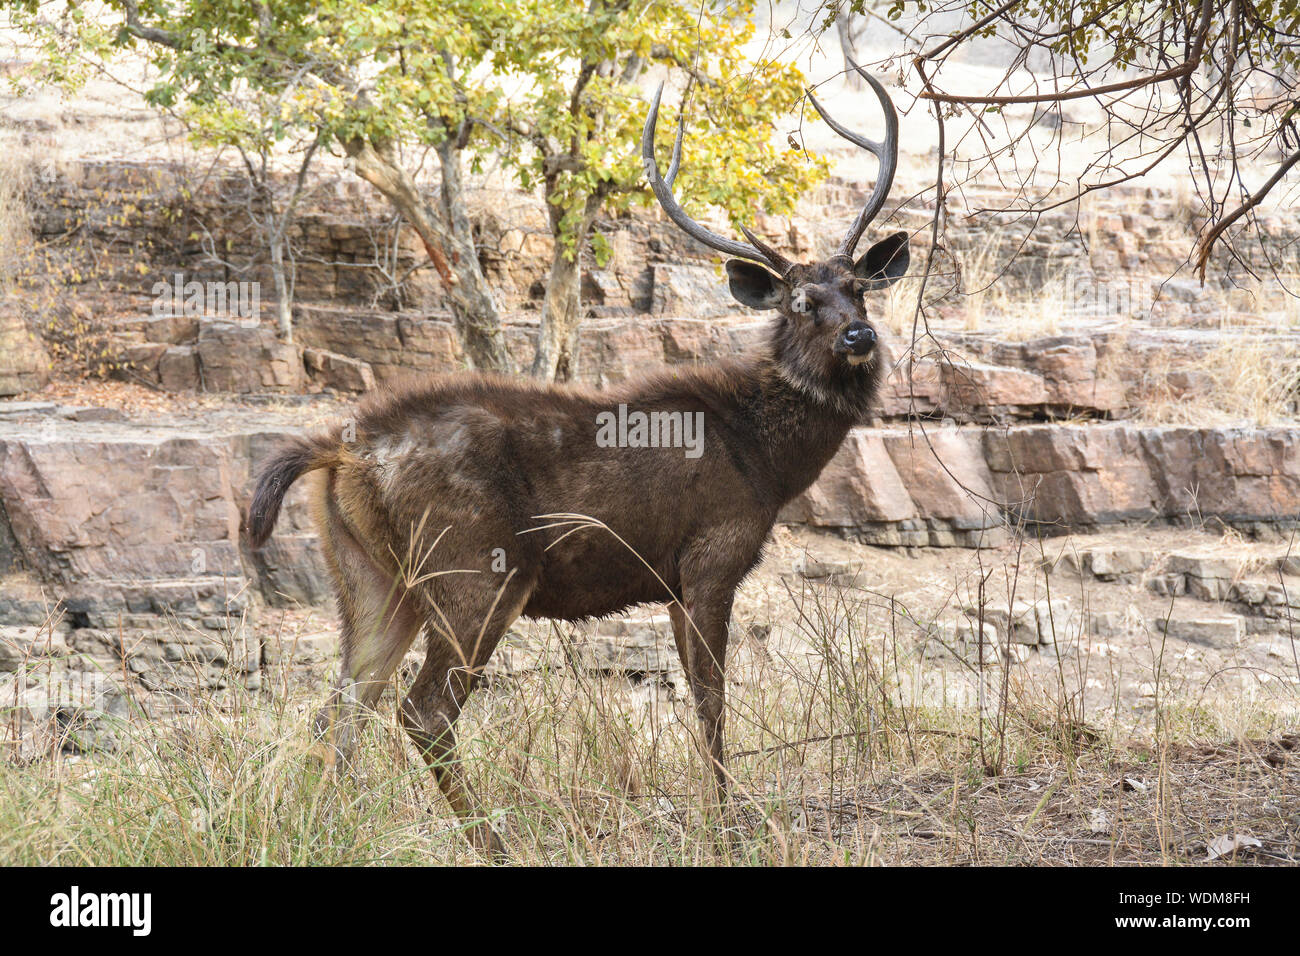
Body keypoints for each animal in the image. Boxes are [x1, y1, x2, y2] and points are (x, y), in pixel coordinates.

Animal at [246, 65, 907, 856]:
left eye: (859, 287)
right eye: (802, 302)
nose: (860, 337)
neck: (765, 459)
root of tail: (341, 449)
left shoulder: (675, 578)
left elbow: (704, 698)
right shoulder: (710, 555)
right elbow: (711, 700)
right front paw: (726, 823)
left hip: (371, 579)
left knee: (340, 709)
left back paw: (324, 833)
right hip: (475, 569)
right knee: (422, 710)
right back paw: (493, 844)